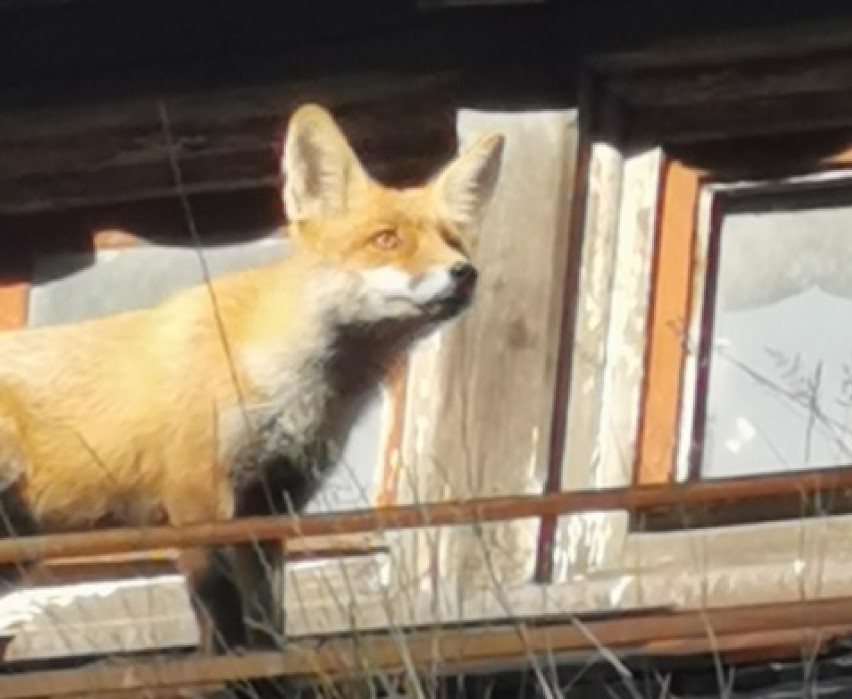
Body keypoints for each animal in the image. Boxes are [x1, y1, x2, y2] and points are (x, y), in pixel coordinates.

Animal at [0, 105, 502, 656]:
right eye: (387, 239)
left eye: (453, 242)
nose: (465, 273)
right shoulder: (198, 496)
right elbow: (219, 615)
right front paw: (230, 662)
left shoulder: (270, 503)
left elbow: (266, 616)